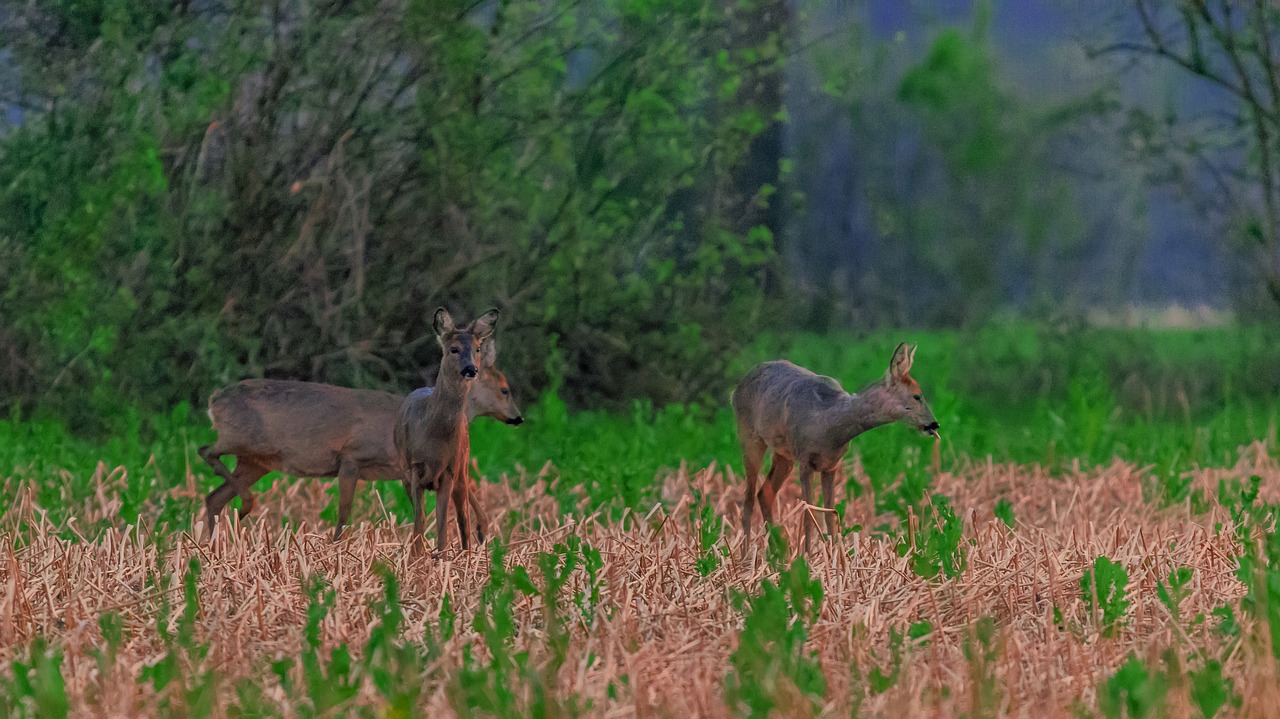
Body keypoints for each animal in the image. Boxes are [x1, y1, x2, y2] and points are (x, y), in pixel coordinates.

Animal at [199, 332, 519, 539]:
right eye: (505, 389)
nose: (518, 417)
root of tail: (214, 400)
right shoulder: (353, 456)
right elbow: (344, 510)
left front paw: (482, 529)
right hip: (241, 438)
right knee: (207, 451)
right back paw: (245, 507)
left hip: (255, 461)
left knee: (214, 497)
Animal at [391, 307, 496, 555]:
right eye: (453, 349)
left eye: (477, 348)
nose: (471, 369)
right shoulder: (414, 470)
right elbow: (419, 522)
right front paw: (416, 557)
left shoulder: (449, 471)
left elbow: (442, 525)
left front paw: (441, 557)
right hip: (405, 473)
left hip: (463, 468)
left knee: (463, 519)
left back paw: (468, 554)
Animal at [732, 342, 942, 555]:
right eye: (917, 396)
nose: (934, 424)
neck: (830, 424)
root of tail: (739, 386)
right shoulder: (805, 459)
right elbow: (808, 514)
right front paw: (808, 555)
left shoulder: (831, 465)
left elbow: (830, 515)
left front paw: (833, 555)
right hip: (749, 436)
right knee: (748, 499)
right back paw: (746, 554)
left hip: (784, 454)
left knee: (764, 493)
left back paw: (778, 552)